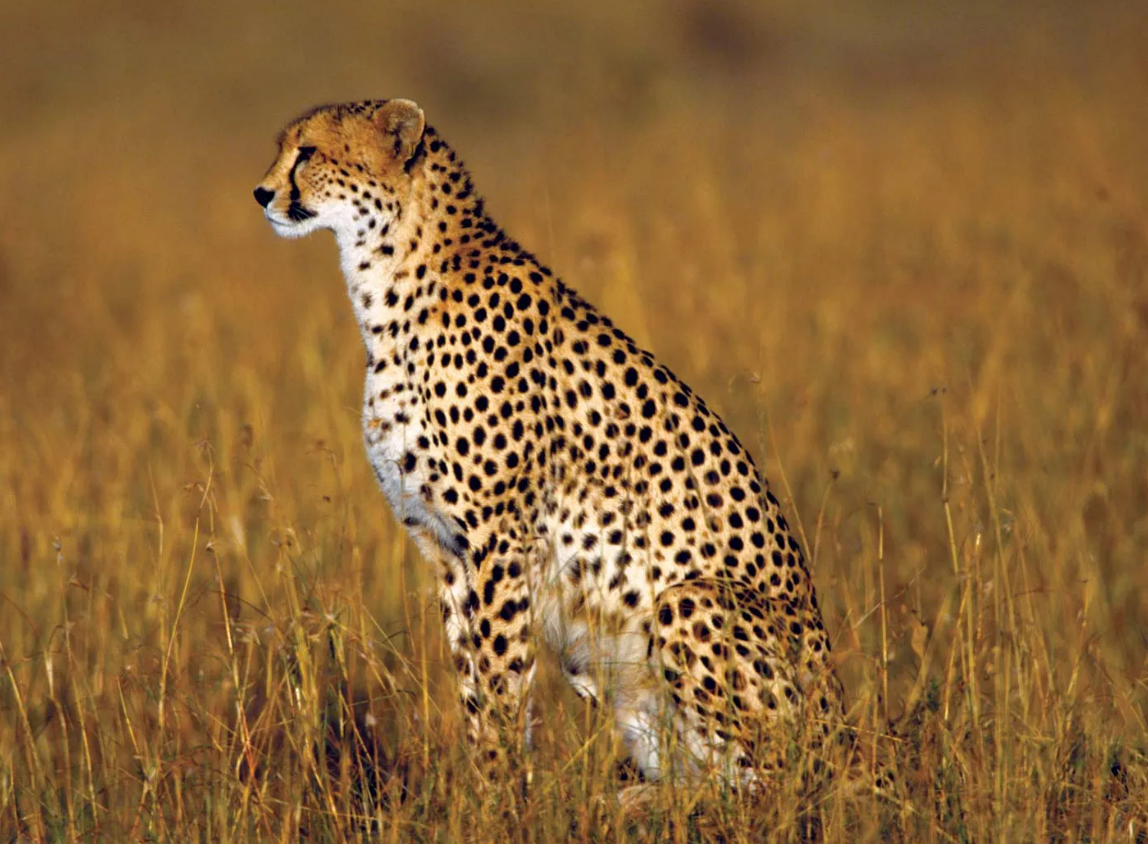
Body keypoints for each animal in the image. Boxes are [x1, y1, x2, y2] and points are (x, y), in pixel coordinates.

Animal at [253, 98, 893, 806]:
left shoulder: (500, 539)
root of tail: (850, 729)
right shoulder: (445, 549)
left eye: (309, 152)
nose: (262, 193)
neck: (389, 282)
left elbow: (502, 680)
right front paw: (486, 792)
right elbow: (473, 683)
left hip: (689, 602)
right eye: (284, 147)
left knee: (784, 787)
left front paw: (503, 797)